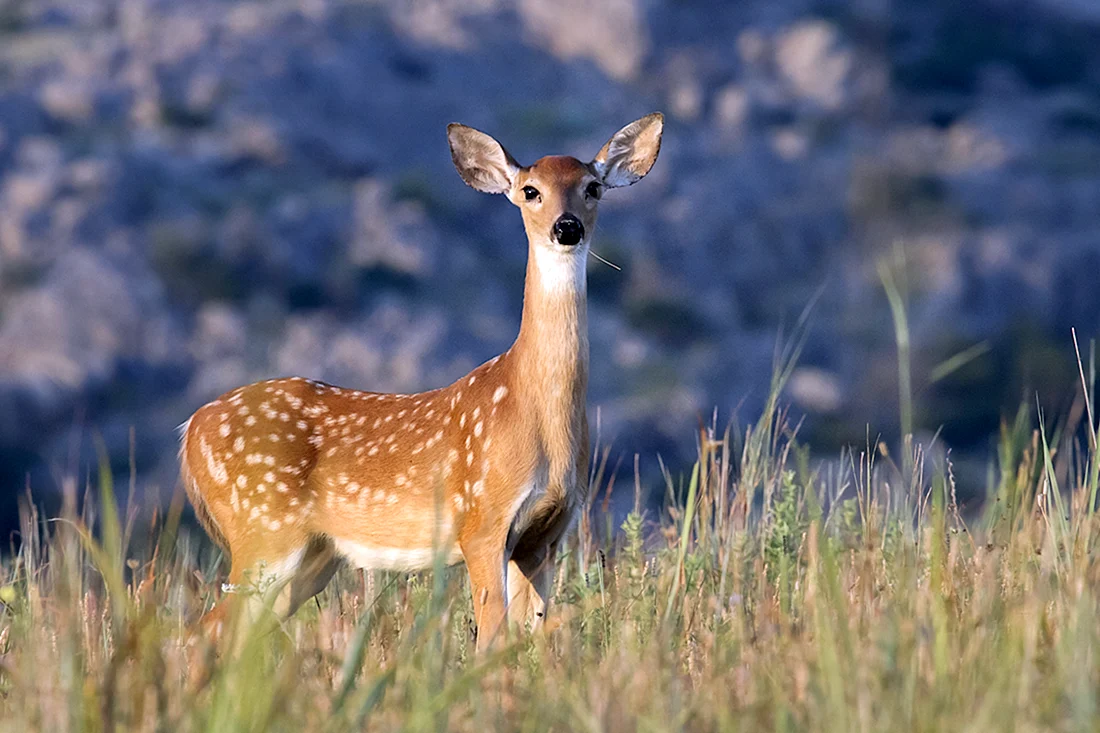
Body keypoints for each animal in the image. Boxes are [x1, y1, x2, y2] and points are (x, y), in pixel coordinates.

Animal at [179, 113, 663, 651]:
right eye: (530, 190)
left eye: (593, 187)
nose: (567, 227)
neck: (535, 410)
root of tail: (190, 431)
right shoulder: (482, 520)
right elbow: (490, 638)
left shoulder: (545, 536)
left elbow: (530, 640)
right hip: (262, 529)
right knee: (202, 632)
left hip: (310, 558)